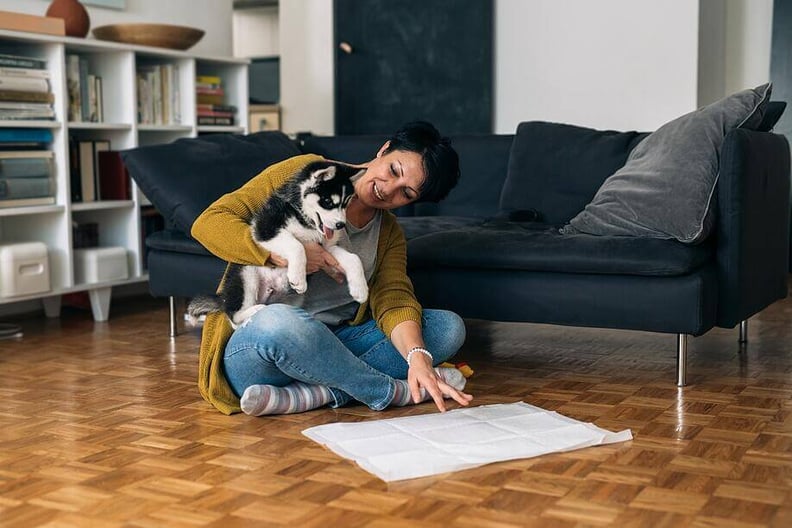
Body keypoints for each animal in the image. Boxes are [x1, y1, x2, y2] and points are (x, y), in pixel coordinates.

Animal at [189, 161, 368, 326]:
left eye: (346, 203)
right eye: (327, 201)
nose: (340, 225)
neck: (304, 217)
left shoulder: (326, 248)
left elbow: (354, 258)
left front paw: (361, 289)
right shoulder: (264, 228)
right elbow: (297, 245)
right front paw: (298, 277)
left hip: (292, 299)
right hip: (245, 274)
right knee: (234, 316)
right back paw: (255, 310)